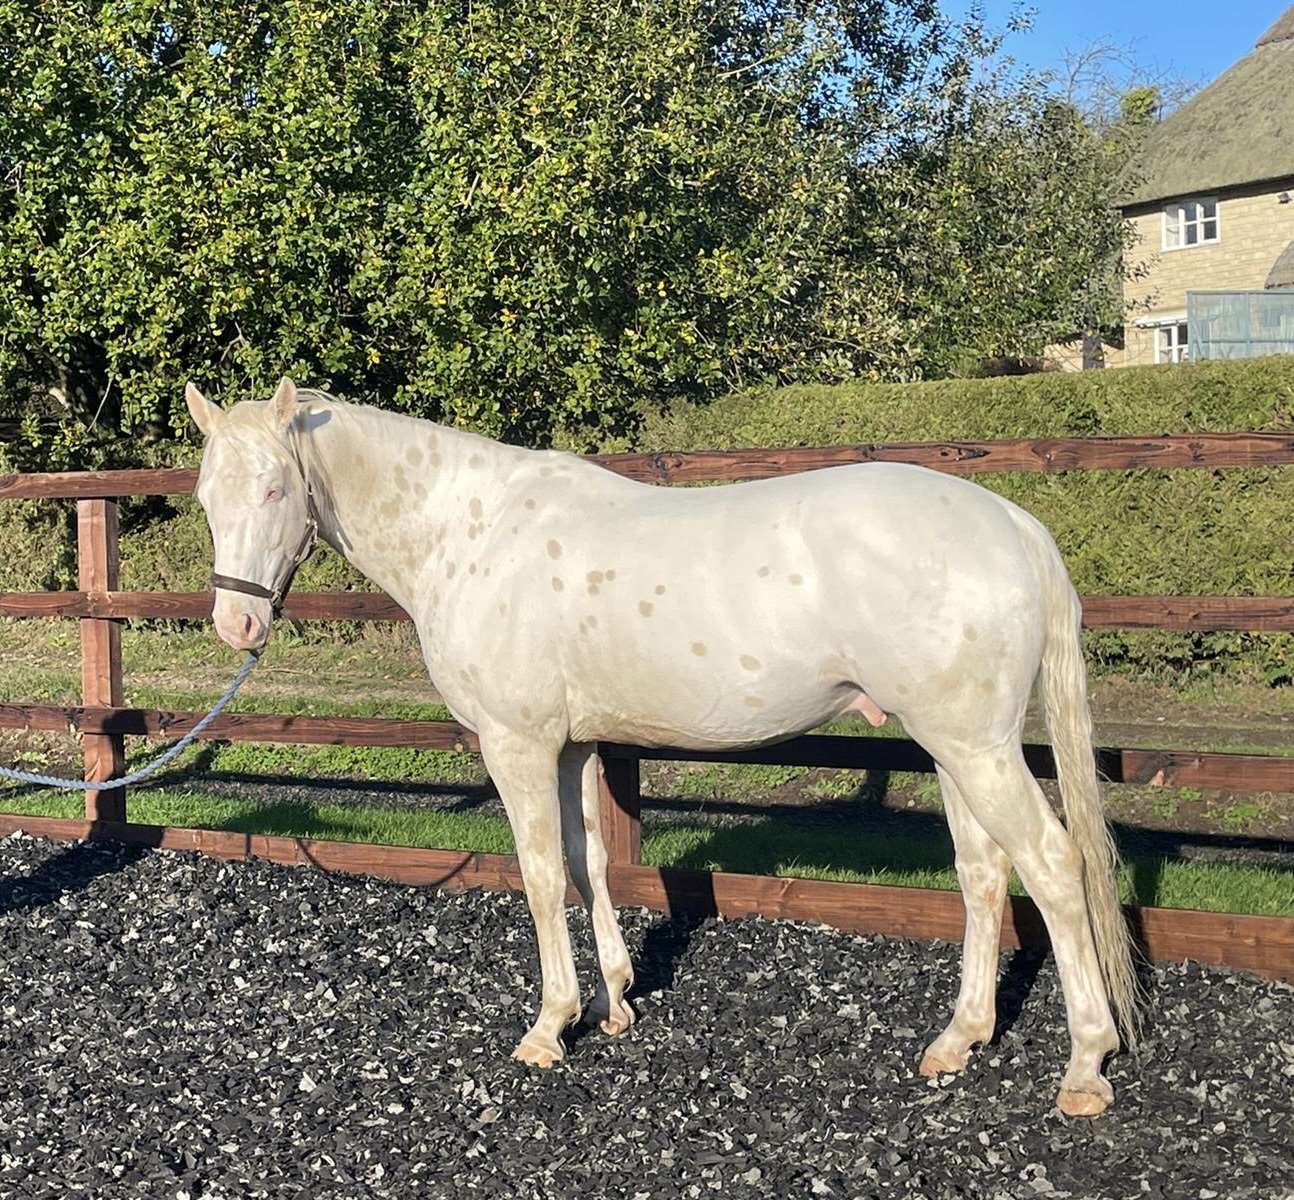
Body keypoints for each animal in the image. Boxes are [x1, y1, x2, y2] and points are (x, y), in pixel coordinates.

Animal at [185, 376, 1139, 1117]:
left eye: (274, 491)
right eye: (205, 499)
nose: (237, 625)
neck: (470, 531)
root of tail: (1014, 525)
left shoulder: (517, 744)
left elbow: (540, 875)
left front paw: (550, 1027)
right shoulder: (572, 747)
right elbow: (591, 862)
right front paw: (614, 1004)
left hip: (975, 748)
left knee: (1053, 867)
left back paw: (1085, 1068)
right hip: (955, 746)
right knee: (984, 874)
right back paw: (958, 1039)